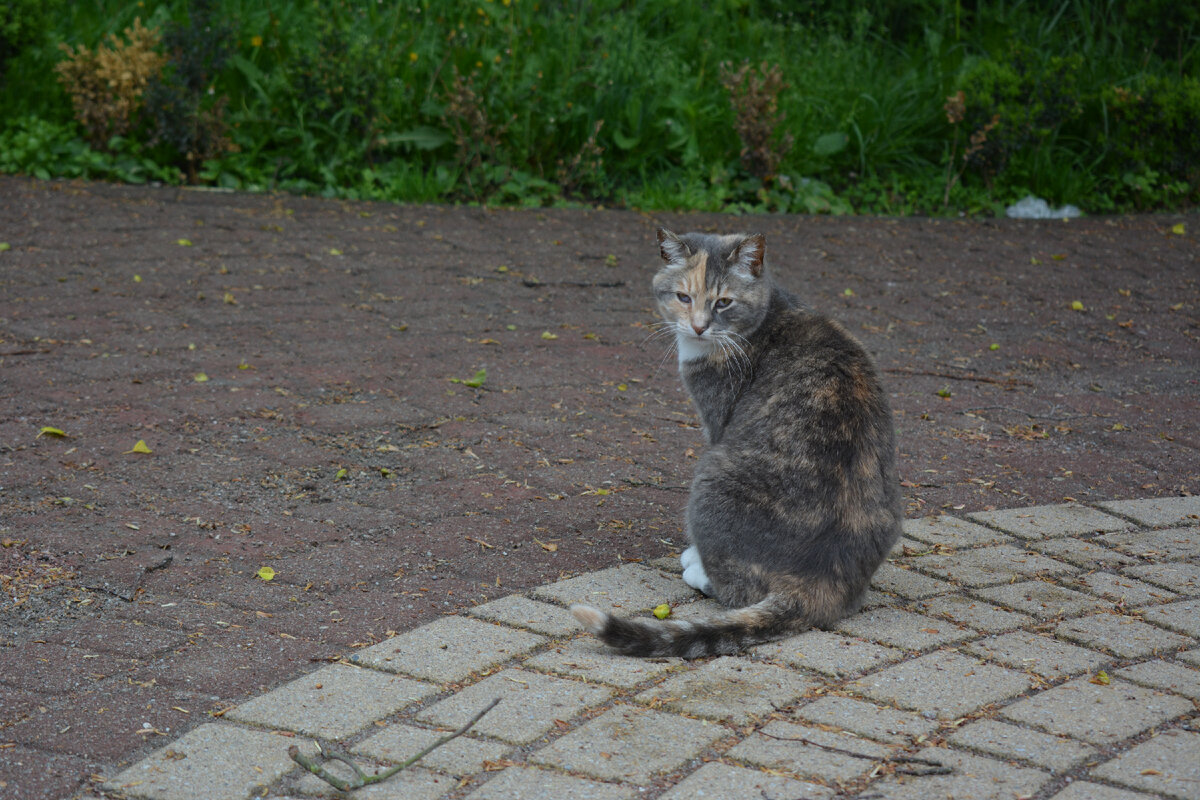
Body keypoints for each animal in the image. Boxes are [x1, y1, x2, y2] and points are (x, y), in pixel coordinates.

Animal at [571, 227, 902, 662]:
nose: (697, 327)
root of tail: (819, 582)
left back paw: (699, 571)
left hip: (711, 476)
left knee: (738, 592)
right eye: (683, 297)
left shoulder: (717, 422)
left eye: (723, 302)